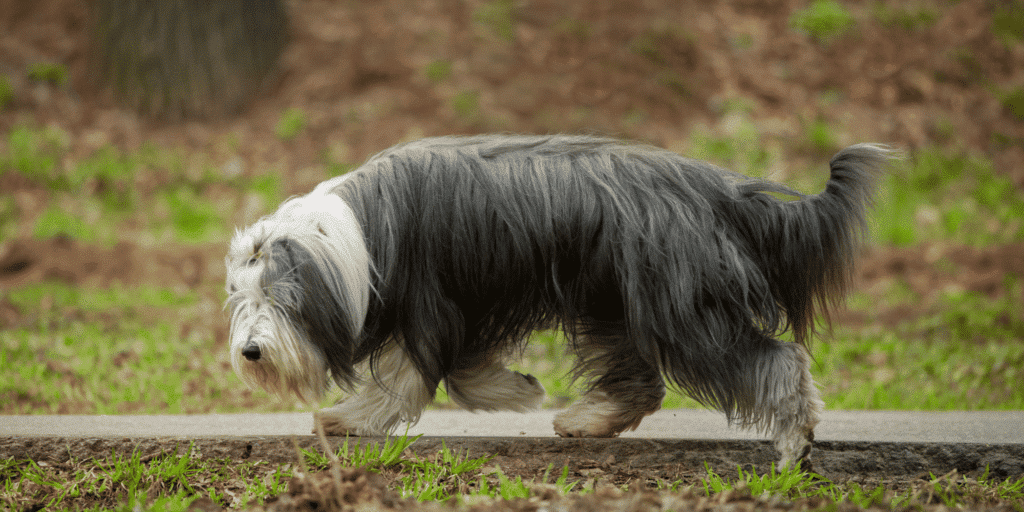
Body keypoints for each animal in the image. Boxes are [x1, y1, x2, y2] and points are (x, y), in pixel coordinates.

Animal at [222, 133, 888, 468]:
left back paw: (794, 441)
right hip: (615, 297)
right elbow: (460, 371)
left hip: (679, 304)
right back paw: (588, 420)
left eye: (283, 300)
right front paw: (518, 389)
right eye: (244, 299)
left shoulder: (432, 297)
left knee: (775, 359)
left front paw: (350, 418)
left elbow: (412, 375)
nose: (251, 352)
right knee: (638, 380)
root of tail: (716, 190)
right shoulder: (462, 303)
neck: (354, 240)